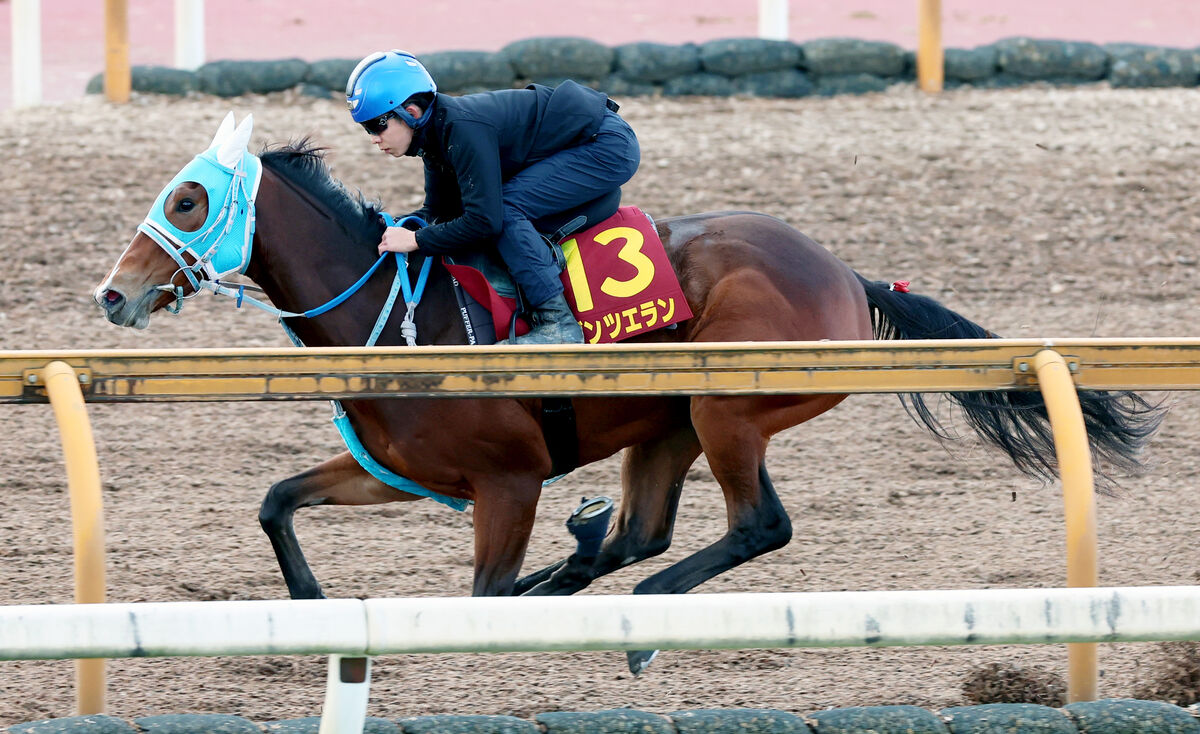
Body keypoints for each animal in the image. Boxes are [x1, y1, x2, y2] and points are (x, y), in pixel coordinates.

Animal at [93, 116, 1161, 676]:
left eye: (187, 198)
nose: (113, 294)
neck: (395, 310)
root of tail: (848, 275)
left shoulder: (510, 480)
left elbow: (482, 596)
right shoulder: (401, 472)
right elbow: (278, 502)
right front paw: (315, 609)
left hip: (725, 407)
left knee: (754, 527)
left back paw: (643, 618)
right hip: (668, 423)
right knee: (644, 532)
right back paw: (601, 568)